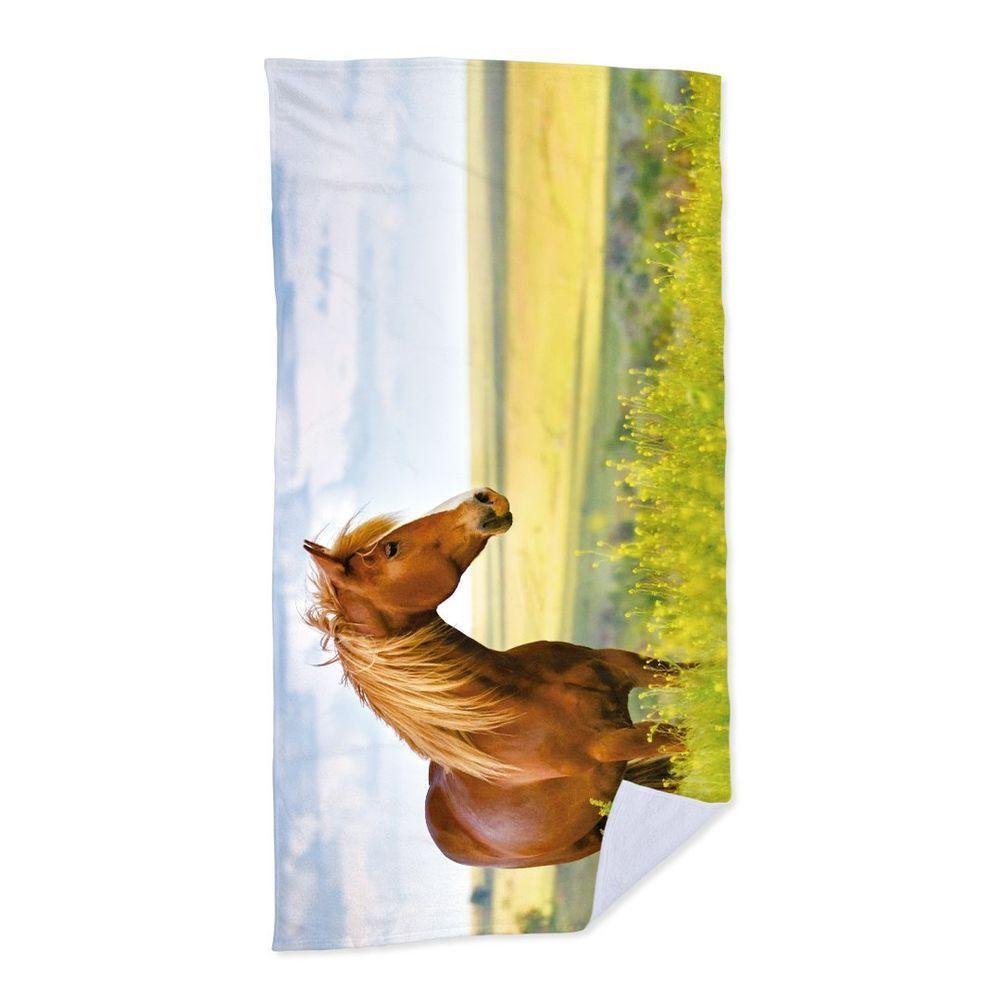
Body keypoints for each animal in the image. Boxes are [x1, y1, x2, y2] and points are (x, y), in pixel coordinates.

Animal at [303, 488, 685, 869]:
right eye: (391, 548)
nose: (484, 496)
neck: (520, 694)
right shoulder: (614, 743)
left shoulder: (625, 666)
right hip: (591, 834)